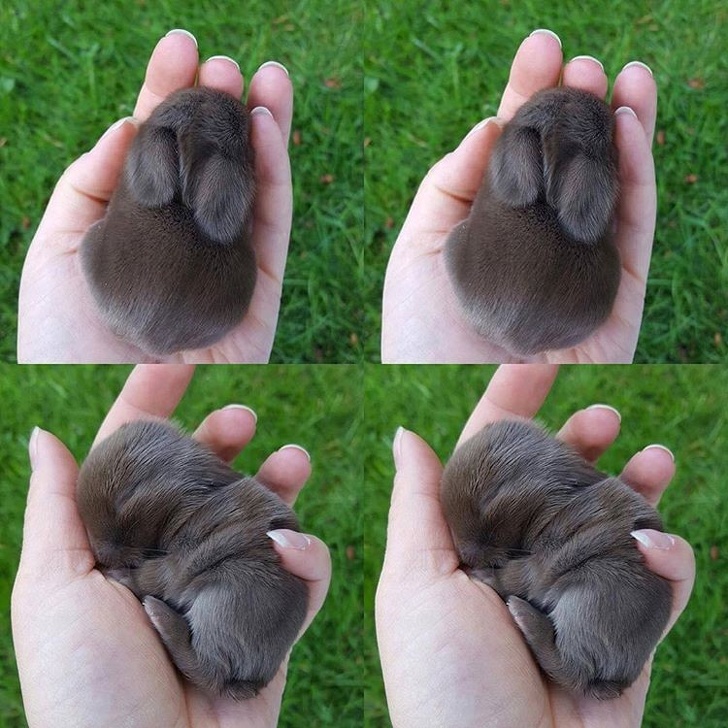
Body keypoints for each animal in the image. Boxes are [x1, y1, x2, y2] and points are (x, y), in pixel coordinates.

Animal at [76, 419, 308, 699]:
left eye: (125, 498)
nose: (99, 554)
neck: (193, 500)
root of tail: (253, 681)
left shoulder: (182, 558)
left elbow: (155, 577)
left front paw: (119, 575)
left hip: (226, 599)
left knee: (209, 672)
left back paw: (161, 617)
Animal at [440, 419, 672, 699]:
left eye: (489, 498)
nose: (465, 555)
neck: (557, 501)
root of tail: (616, 681)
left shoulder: (545, 558)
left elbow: (518, 577)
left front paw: (484, 575)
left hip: (590, 599)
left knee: (573, 670)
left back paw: (525, 617)